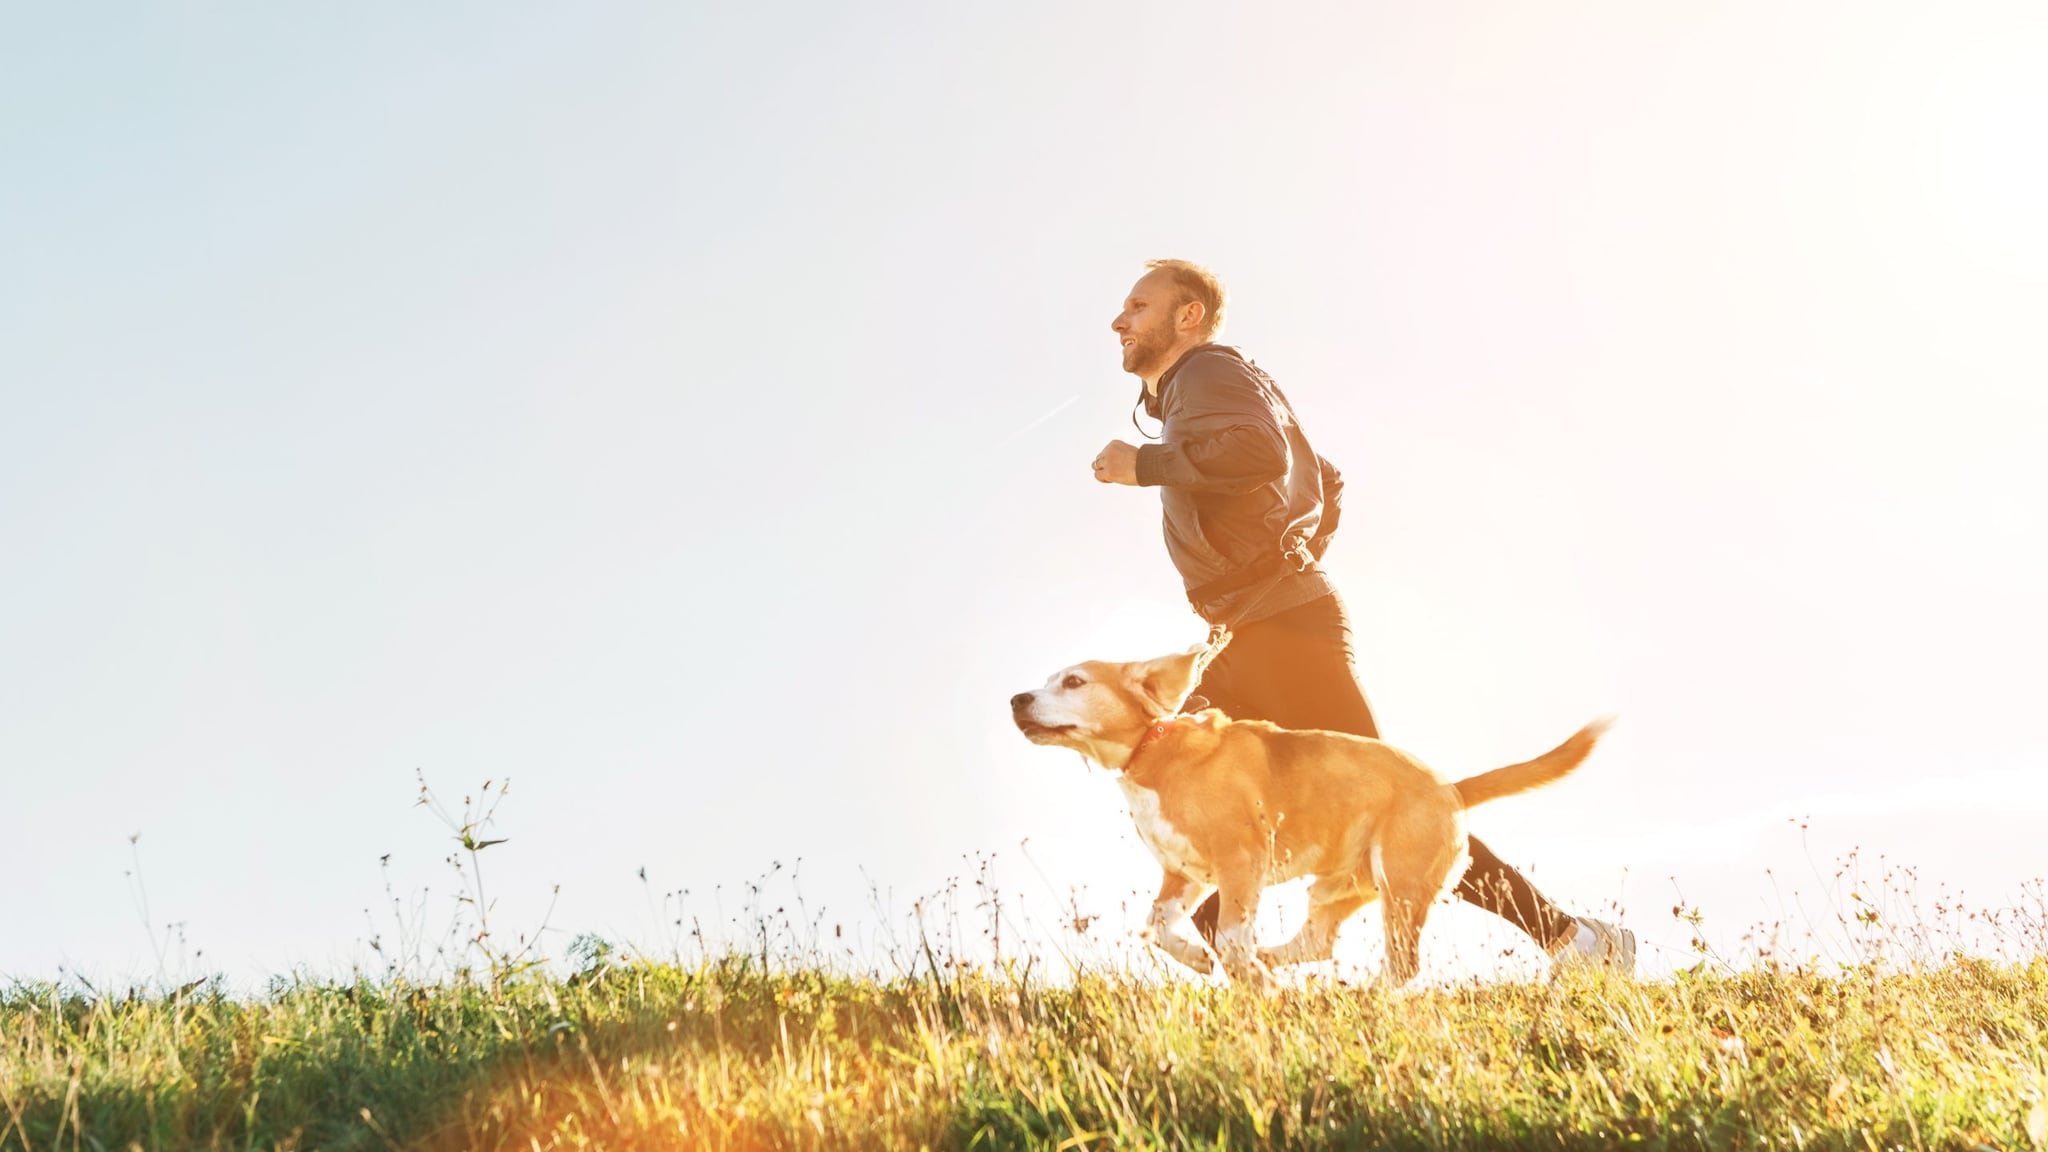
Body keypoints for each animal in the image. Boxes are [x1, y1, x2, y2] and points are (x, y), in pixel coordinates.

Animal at [1011, 639, 1613, 983]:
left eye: (1074, 681)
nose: (1017, 699)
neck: (1153, 750)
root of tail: (1451, 787)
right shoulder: (1184, 875)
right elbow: (1157, 926)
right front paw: (1201, 959)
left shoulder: (1240, 862)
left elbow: (1229, 935)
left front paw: (1241, 972)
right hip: (1338, 888)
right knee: (1318, 942)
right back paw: (1273, 963)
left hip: (1400, 884)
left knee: (1401, 966)